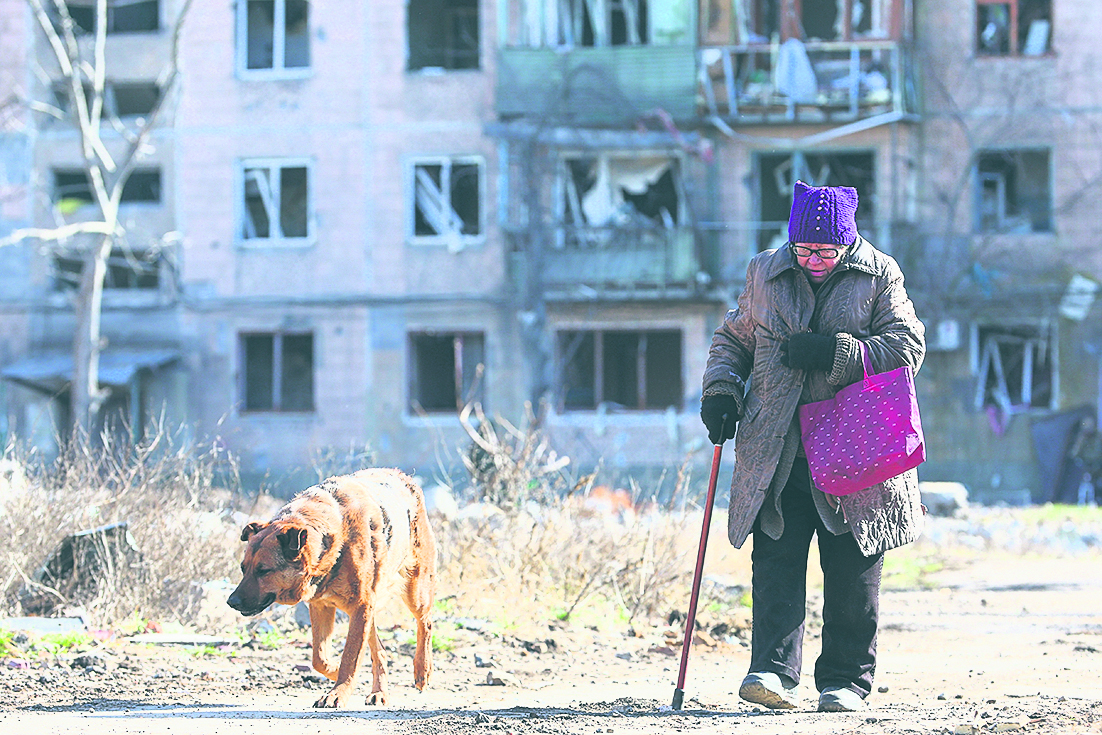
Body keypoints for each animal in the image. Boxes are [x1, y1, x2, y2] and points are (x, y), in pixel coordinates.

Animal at [227, 471, 434, 705]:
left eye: (263, 570)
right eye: (243, 568)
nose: (231, 602)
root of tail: (404, 477)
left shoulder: (360, 606)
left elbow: (350, 657)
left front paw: (338, 692)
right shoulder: (322, 606)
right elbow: (320, 658)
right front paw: (335, 672)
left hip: (414, 591)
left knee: (425, 623)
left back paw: (422, 671)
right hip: (367, 610)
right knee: (379, 651)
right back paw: (379, 692)